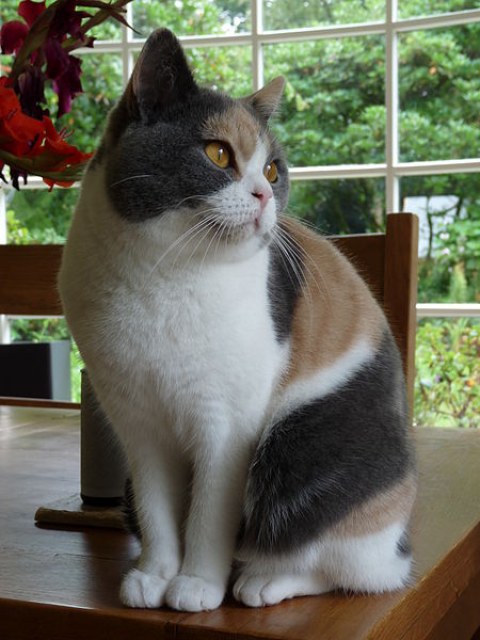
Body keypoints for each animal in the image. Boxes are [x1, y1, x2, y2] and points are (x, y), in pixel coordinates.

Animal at [58, 27, 414, 612]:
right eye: (217, 152)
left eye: (272, 168)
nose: (265, 194)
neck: (163, 276)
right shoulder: (138, 425)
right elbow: (158, 512)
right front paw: (155, 575)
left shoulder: (226, 427)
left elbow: (207, 516)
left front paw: (197, 584)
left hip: (300, 446)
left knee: (350, 565)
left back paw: (262, 581)